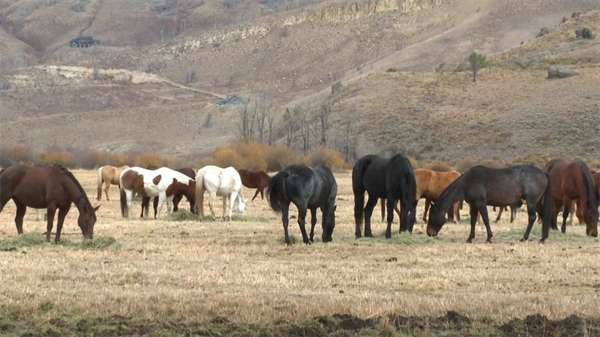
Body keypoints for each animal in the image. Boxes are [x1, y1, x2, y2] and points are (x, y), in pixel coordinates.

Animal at [424, 165, 552, 242]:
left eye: (431, 216)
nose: (429, 233)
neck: (469, 181)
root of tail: (543, 172)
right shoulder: (473, 204)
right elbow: (473, 220)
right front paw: (470, 238)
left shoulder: (481, 203)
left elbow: (485, 219)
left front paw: (489, 238)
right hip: (537, 202)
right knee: (543, 215)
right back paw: (543, 238)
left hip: (531, 201)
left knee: (532, 217)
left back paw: (524, 238)